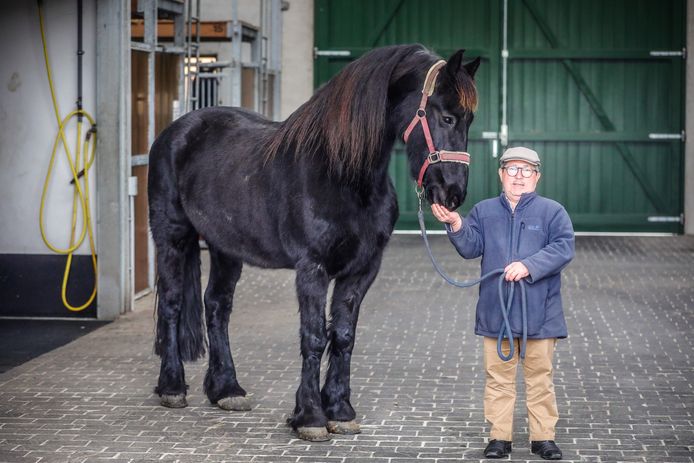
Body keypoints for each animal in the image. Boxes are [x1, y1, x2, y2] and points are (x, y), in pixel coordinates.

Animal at [150, 43, 482, 442]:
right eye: (447, 117)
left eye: (469, 120)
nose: (453, 193)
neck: (340, 172)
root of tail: (176, 131)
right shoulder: (312, 269)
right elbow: (313, 337)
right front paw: (309, 416)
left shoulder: (362, 270)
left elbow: (342, 336)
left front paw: (339, 409)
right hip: (172, 235)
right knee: (171, 304)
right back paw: (172, 387)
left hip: (225, 248)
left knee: (217, 306)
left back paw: (227, 390)